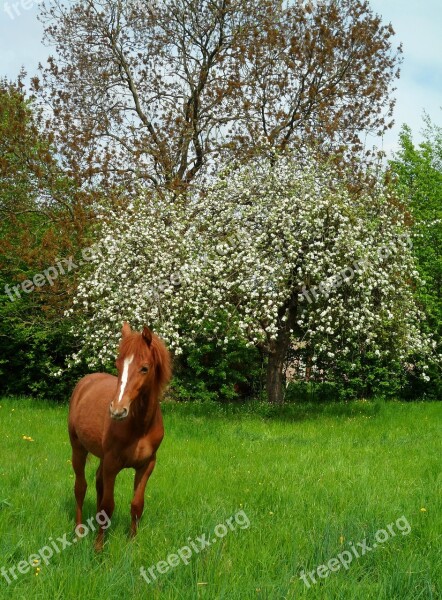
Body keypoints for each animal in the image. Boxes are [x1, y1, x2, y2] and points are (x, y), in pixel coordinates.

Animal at [68, 322, 172, 552]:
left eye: (144, 368)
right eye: (118, 366)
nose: (117, 410)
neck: (139, 426)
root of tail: (86, 381)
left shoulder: (146, 466)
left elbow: (136, 504)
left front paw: (132, 543)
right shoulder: (112, 464)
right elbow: (108, 506)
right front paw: (98, 548)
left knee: (97, 483)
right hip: (78, 449)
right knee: (80, 488)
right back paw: (79, 533)